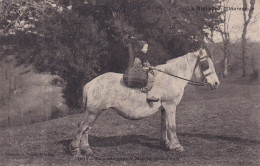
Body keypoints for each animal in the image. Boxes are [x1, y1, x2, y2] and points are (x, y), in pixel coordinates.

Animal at [69, 47, 219, 156]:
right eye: (206, 64)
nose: (216, 83)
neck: (172, 78)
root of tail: (90, 84)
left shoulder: (164, 108)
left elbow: (164, 126)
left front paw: (167, 144)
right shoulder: (170, 106)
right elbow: (172, 126)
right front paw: (177, 146)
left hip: (95, 112)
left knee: (86, 128)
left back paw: (87, 149)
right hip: (93, 112)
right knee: (82, 127)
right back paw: (75, 150)